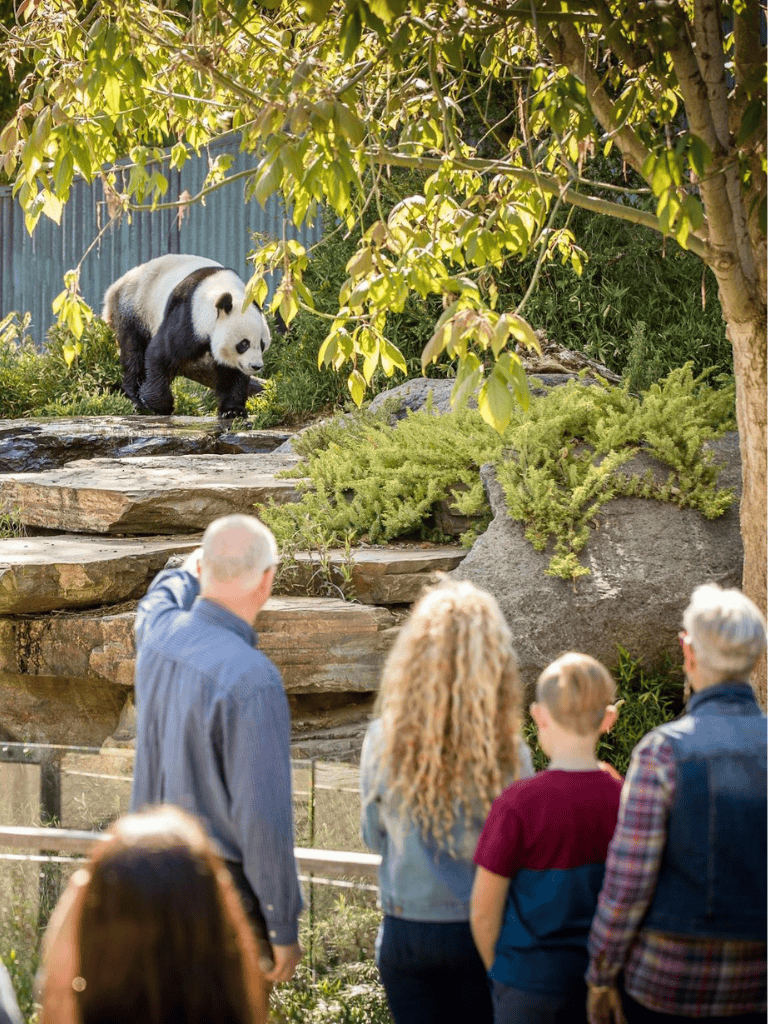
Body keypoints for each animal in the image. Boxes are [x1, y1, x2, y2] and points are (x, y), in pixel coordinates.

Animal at [102, 254, 271, 418]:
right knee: (134, 351)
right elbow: (161, 354)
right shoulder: (188, 315)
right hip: (134, 307)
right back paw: (135, 394)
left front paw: (232, 410)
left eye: (262, 344)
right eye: (244, 343)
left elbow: (232, 373)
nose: (256, 366)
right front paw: (161, 404)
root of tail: (114, 287)